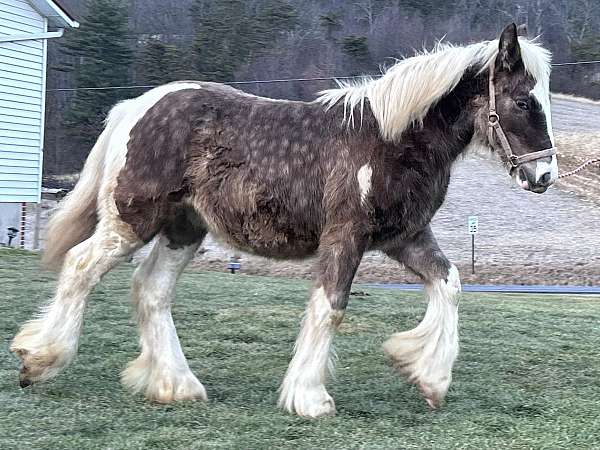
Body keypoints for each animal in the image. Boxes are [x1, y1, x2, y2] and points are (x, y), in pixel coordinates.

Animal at [10, 23, 556, 418]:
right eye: (522, 100)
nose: (544, 174)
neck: (392, 140)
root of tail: (135, 106)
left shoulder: (405, 238)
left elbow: (449, 283)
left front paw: (428, 376)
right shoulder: (347, 237)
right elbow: (331, 307)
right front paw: (310, 399)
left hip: (184, 228)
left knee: (151, 290)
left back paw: (176, 386)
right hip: (131, 222)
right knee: (81, 267)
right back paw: (38, 360)